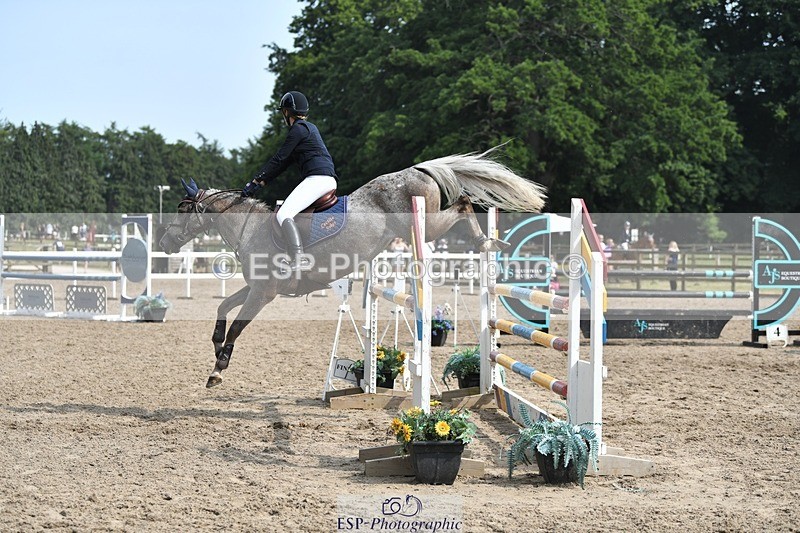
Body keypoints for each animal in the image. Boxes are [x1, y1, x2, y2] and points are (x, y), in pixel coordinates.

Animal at [160, 149, 546, 388]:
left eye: (181, 208)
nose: (164, 243)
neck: (250, 228)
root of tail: (416, 168)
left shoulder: (264, 293)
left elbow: (238, 327)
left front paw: (218, 370)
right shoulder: (255, 287)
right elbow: (223, 308)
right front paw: (215, 348)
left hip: (429, 223)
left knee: (464, 203)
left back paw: (486, 243)